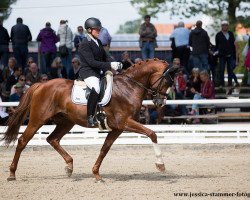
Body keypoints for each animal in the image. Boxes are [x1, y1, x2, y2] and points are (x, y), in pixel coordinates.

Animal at [1, 57, 176, 181]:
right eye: (166, 81)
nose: (160, 103)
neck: (128, 88)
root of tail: (41, 85)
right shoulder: (125, 123)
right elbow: (152, 133)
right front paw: (160, 165)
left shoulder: (117, 128)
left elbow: (104, 149)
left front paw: (96, 174)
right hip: (38, 119)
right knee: (23, 141)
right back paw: (12, 174)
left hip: (66, 122)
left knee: (53, 139)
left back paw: (69, 167)